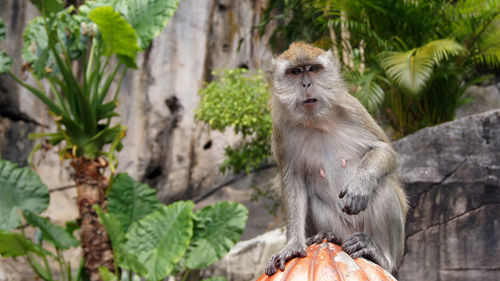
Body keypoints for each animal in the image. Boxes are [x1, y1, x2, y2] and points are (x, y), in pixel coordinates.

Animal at [264, 42, 408, 276]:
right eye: (295, 72)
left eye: (313, 69)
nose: (306, 84)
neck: (316, 121)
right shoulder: (281, 130)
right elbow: (293, 180)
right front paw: (293, 245)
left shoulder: (352, 107)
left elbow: (384, 149)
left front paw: (360, 184)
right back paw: (327, 236)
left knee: (383, 186)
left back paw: (379, 255)